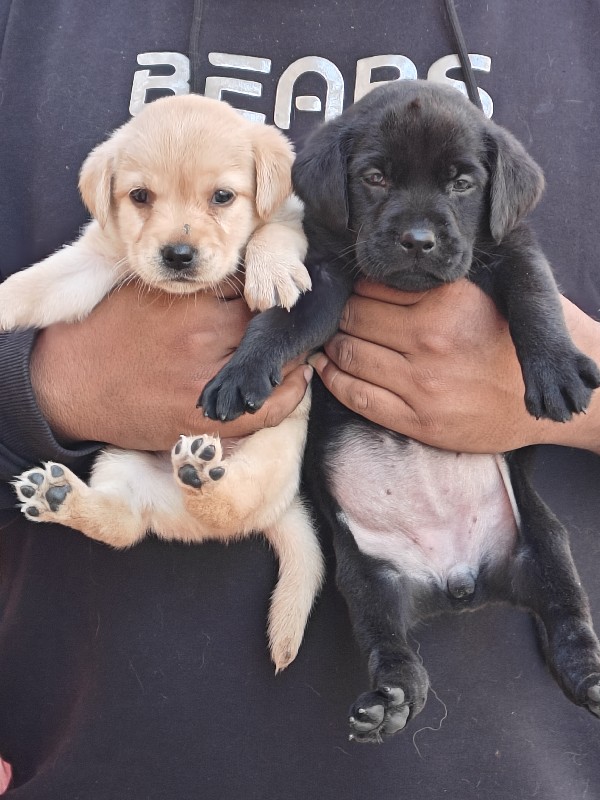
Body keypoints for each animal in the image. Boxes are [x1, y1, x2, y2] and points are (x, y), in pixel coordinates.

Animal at [1, 94, 324, 672]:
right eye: (140, 197)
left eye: (223, 196)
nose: (178, 254)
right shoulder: (95, 258)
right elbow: (32, 284)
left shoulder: (292, 214)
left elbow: (273, 232)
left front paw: (273, 271)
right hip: (120, 460)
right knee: (124, 524)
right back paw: (63, 497)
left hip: (271, 454)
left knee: (230, 503)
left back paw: (203, 473)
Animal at [200, 81, 600, 744]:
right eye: (376, 177)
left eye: (462, 183)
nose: (418, 240)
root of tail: (460, 582)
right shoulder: (325, 271)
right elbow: (281, 321)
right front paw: (240, 371)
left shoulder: (512, 246)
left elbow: (534, 296)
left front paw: (555, 369)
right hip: (367, 576)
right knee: (389, 643)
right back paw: (390, 699)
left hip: (544, 543)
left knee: (568, 612)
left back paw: (589, 676)